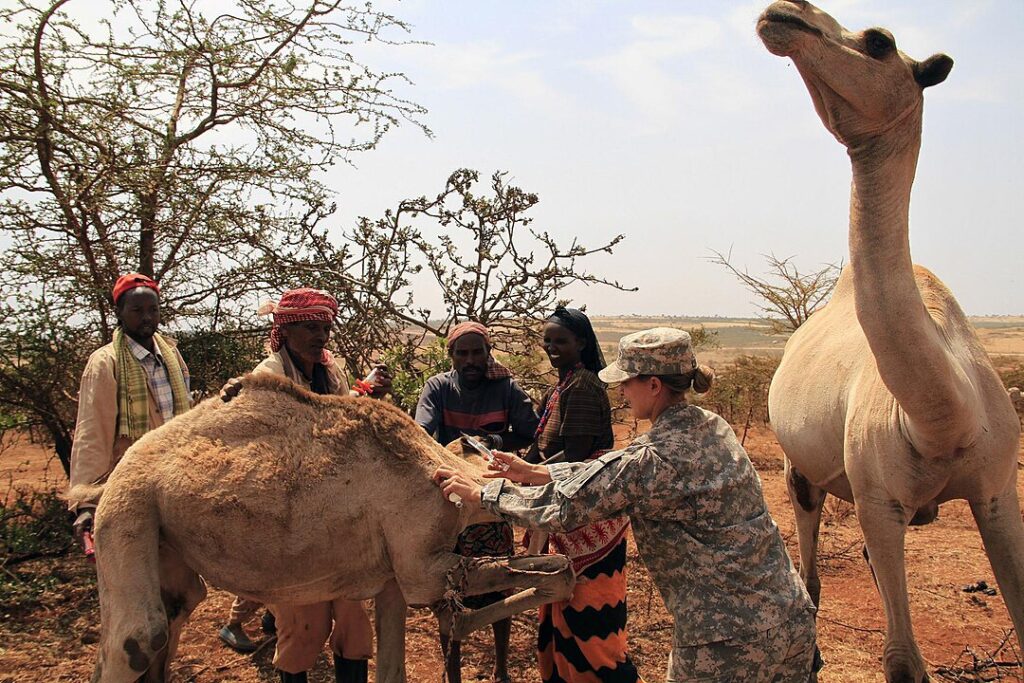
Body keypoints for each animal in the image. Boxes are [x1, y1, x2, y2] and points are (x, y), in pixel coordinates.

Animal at [70, 373, 574, 682]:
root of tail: (110, 478)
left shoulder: (392, 578)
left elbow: (392, 670)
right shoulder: (419, 566)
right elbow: (557, 571)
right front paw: (456, 617)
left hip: (162, 543)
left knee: (175, 611)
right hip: (127, 512)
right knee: (139, 637)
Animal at [757, 2, 1024, 682]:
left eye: (879, 41)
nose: (783, 14)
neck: (943, 419)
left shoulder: (998, 491)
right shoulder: (879, 501)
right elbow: (902, 662)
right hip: (802, 470)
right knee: (810, 570)